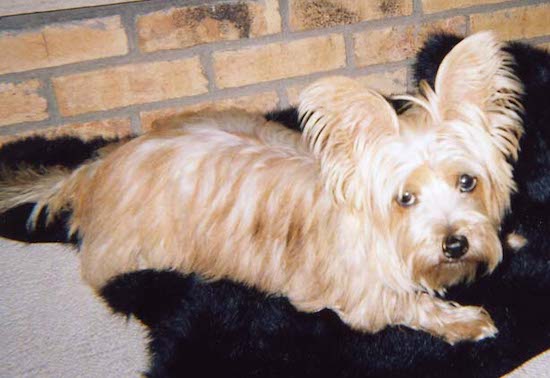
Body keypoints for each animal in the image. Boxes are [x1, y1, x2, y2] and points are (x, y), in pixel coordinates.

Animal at [0, 31, 528, 344]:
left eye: (467, 182)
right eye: (405, 199)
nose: (455, 244)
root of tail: (93, 170)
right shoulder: (363, 297)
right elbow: (410, 304)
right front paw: (464, 320)